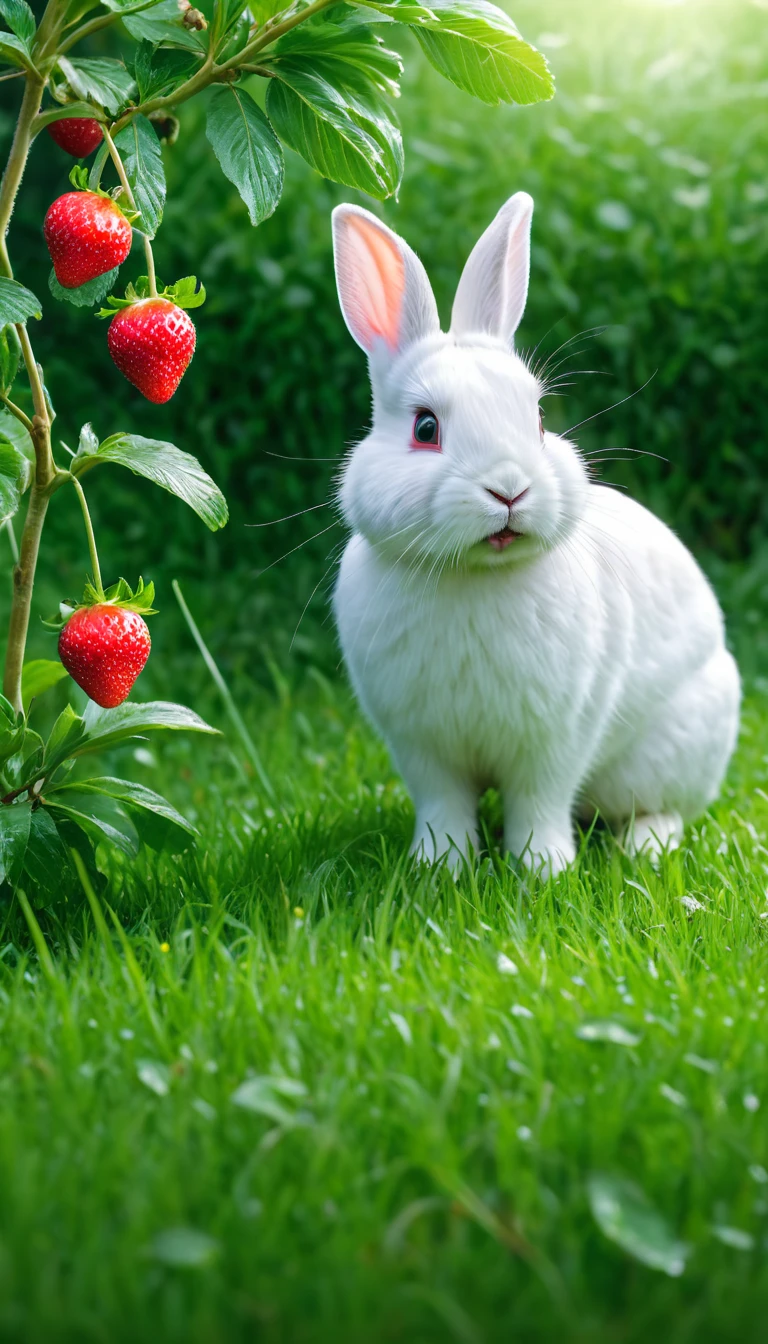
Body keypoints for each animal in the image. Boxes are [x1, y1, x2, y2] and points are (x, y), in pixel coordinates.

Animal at [329, 194, 737, 876]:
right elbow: (444, 806)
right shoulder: (421, 748)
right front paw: (439, 866)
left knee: (663, 809)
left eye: (539, 419)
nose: (509, 489)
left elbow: (540, 801)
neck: (475, 576)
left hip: (664, 754)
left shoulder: (557, 738)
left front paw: (541, 870)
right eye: (425, 428)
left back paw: (644, 847)